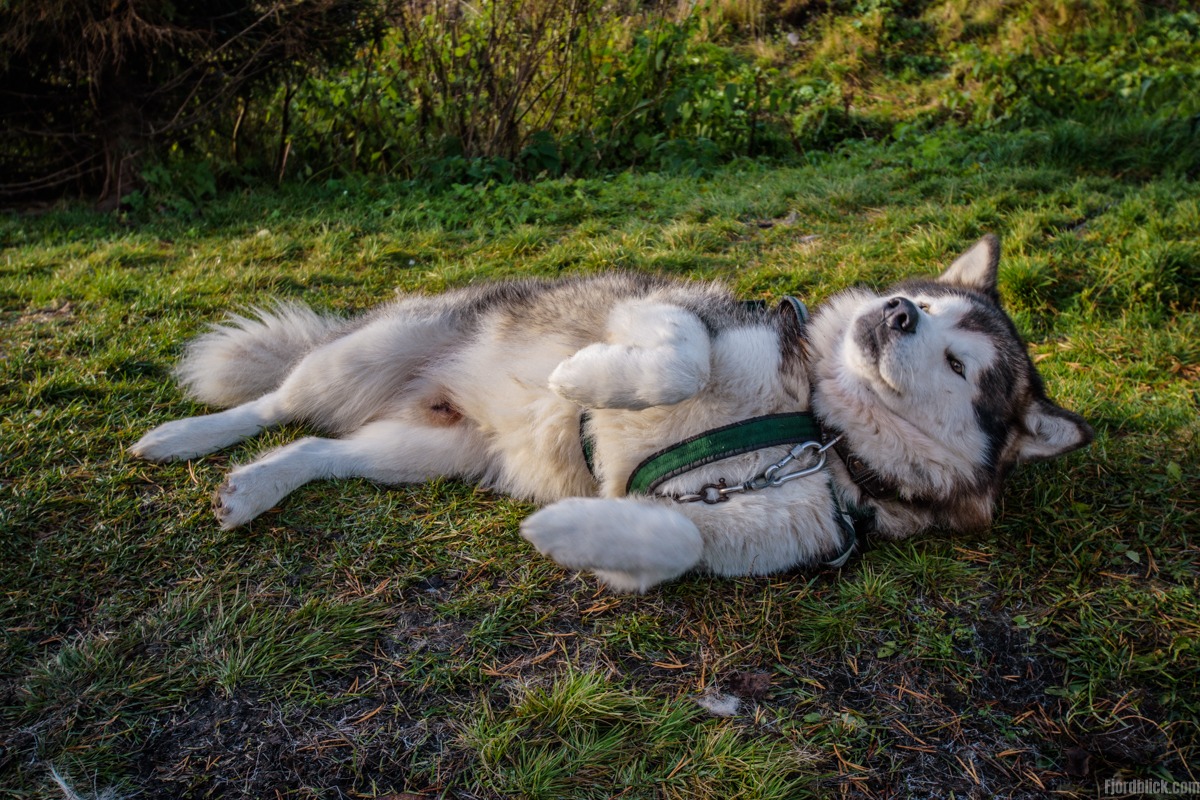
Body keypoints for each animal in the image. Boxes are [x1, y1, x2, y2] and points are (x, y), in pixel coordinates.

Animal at [133, 235, 1099, 592]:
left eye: (960, 362)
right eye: (928, 306)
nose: (896, 312)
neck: (815, 428)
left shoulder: (738, 533)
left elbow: (666, 544)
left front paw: (567, 530)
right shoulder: (670, 310)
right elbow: (678, 357)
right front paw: (582, 377)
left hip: (420, 450)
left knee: (321, 452)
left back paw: (255, 488)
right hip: (356, 361)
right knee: (277, 400)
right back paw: (185, 437)